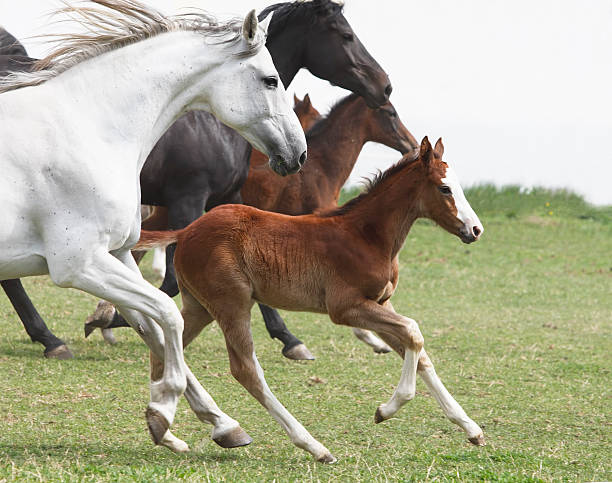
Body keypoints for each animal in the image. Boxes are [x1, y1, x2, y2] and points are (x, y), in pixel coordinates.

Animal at [0, 0, 306, 454]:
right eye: (271, 80)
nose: (299, 153)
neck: (88, 130)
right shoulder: (79, 265)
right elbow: (168, 314)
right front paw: (163, 410)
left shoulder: (118, 255)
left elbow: (153, 328)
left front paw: (222, 425)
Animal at [3, 0, 392, 362]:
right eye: (346, 35)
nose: (385, 87)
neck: (89, 125)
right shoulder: (184, 202)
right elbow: (170, 284)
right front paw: (107, 320)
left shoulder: (221, 200)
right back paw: (51, 339)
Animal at [136, 138, 486, 464]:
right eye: (444, 188)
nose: (475, 229)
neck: (366, 235)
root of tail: (187, 231)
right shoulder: (346, 308)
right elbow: (414, 332)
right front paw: (386, 409)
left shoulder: (382, 303)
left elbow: (419, 352)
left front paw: (471, 429)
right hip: (231, 303)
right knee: (246, 369)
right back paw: (313, 446)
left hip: (200, 306)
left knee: (164, 345)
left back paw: (163, 428)